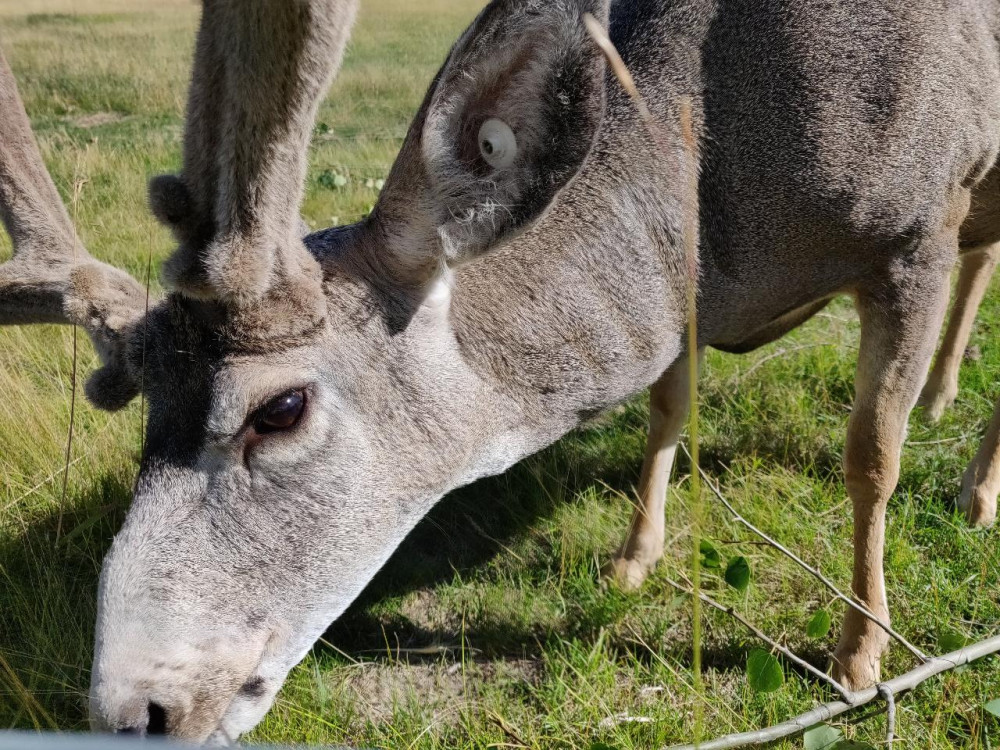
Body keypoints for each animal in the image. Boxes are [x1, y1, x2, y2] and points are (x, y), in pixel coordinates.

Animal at [1, 0, 1000, 744]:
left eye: (279, 408)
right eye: (135, 409)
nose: (134, 709)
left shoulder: (920, 223)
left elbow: (870, 455)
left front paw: (859, 654)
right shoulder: (681, 304)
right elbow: (669, 405)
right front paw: (633, 559)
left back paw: (974, 489)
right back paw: (947, 397)